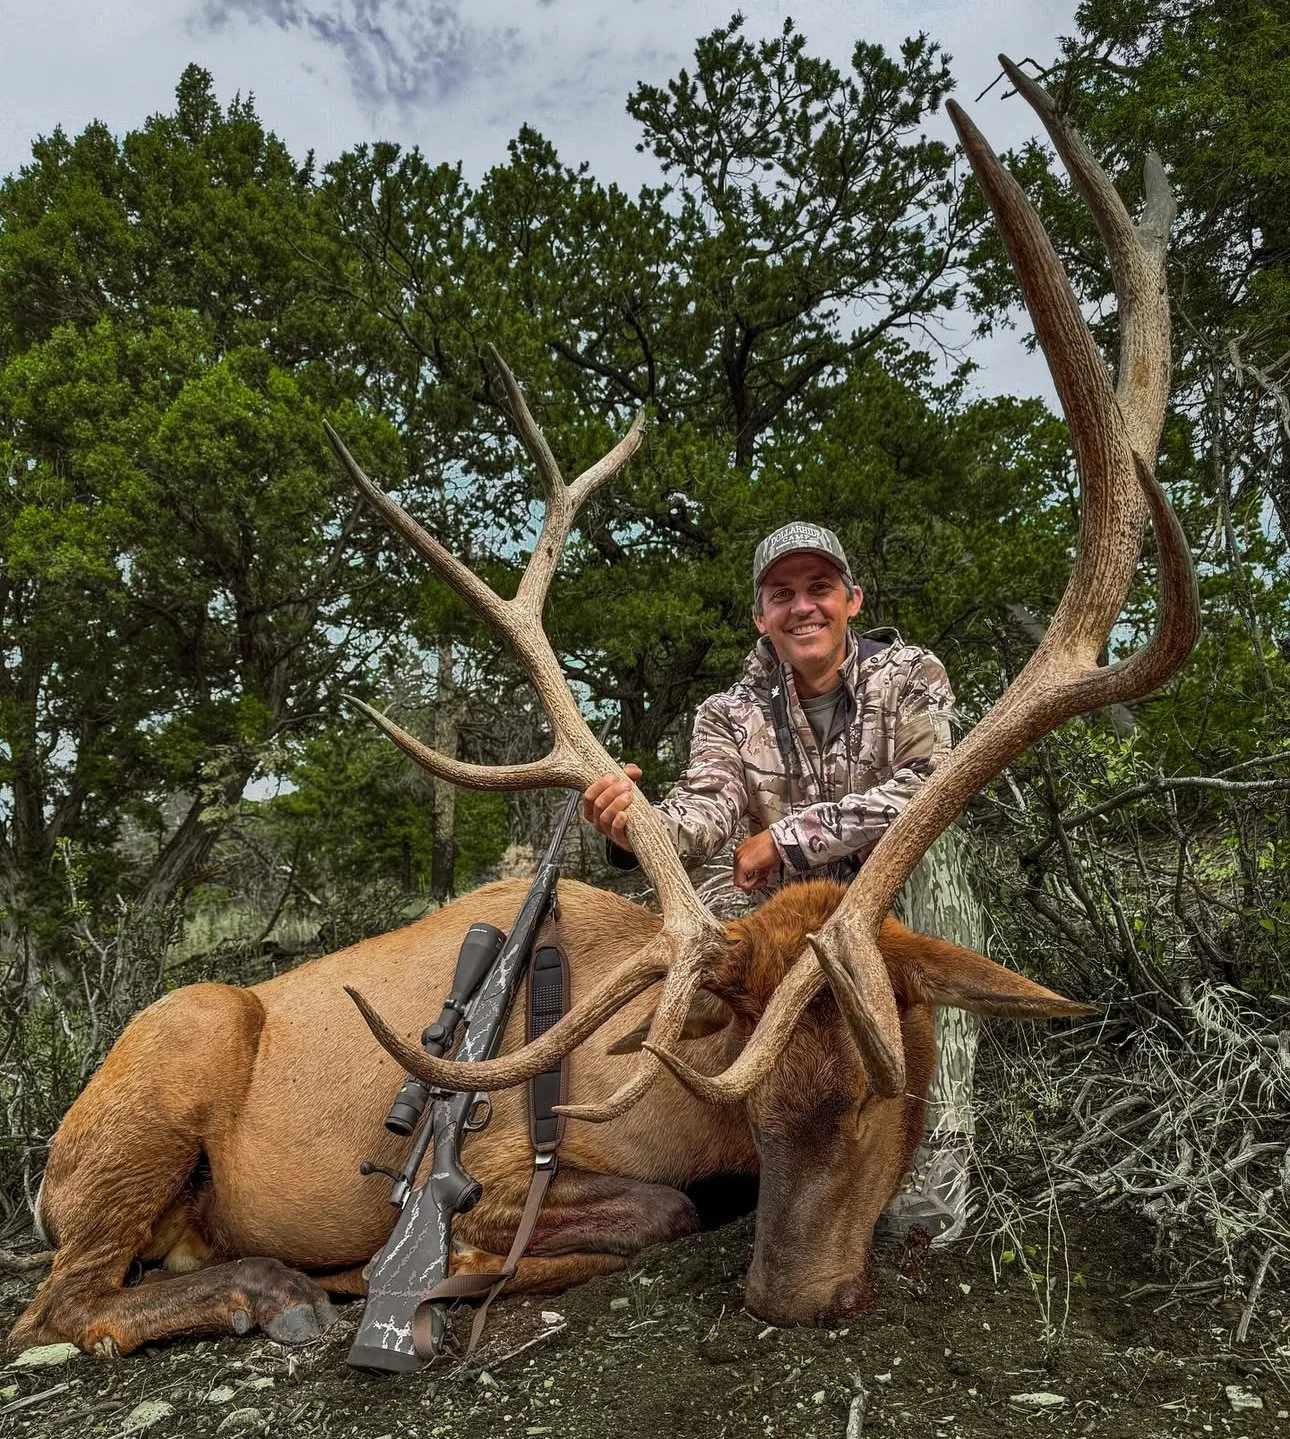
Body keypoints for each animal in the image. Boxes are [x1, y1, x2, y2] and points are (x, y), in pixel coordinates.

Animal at [10, 62, 1196, 1359]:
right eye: (762, 1101)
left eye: (886, 1089)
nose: (790, 1294)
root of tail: (47, 1167)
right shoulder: (502, 1163)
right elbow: (646, 1208)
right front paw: (418, 1279)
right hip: (170, 1057)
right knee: (58, 1300)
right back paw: (274, 1287)